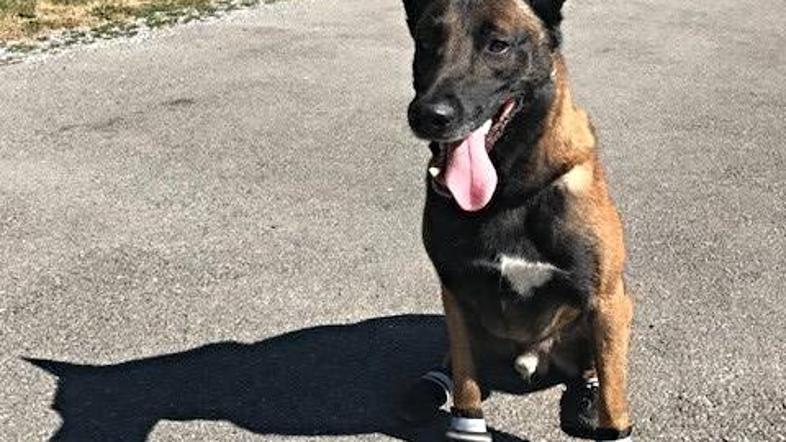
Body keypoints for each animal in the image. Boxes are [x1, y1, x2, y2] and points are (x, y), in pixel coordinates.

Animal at [398, 1, 634, 441]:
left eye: (498, 45)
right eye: (426, 42)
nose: (427, 115)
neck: (506, 193)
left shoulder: (604, 298)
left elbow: (614, 401)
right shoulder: (456, 291)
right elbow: (466, 385)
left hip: (612, 310)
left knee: (598, 366)